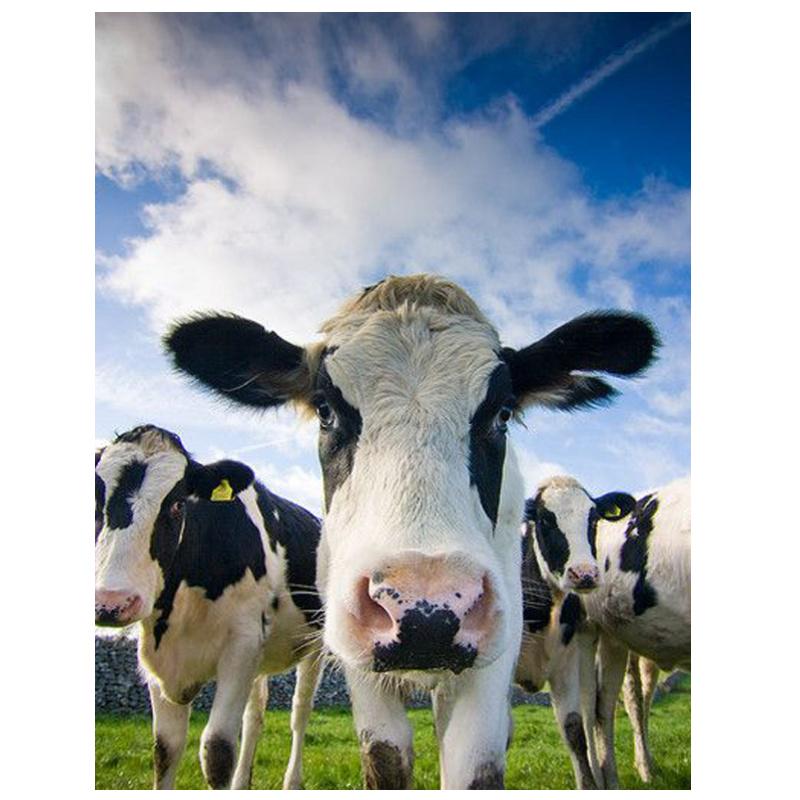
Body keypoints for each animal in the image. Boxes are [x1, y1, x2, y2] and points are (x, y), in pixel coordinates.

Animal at [95, 425, 324, 789]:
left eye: (177, 504)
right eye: (96, 499)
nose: (112, 603)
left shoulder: (240, 647)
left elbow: (216, 751)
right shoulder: (158, 658)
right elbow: (165, 749)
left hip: (314, 645)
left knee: (300, 712)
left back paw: (292, 782)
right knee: (255, 714)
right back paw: (243, 781)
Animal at [163, 274, 659, 789]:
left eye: (502, 414)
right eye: (325, 410)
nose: (427, 612)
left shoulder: (496, 651)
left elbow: (476, 765)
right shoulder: (359, 662)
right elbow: (385, 759)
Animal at [527, 475, 690, 788]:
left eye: (592, 519)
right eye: (544, 520)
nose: (584, 573)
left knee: (629, 698)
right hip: (590, 631)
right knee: (598, 702)